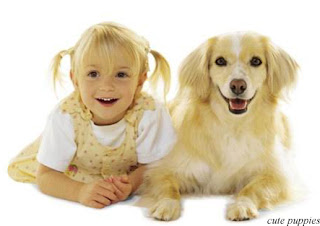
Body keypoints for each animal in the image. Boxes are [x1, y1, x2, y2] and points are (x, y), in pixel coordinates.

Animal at [139, 31, 298, 221]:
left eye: (256, 61)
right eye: (220, 61)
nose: (238, 85)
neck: (232, 125)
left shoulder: (276, 176)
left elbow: (251, 189)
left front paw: (242, 205)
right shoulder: (160, 171)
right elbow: (168, 188)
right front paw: (166, 205)